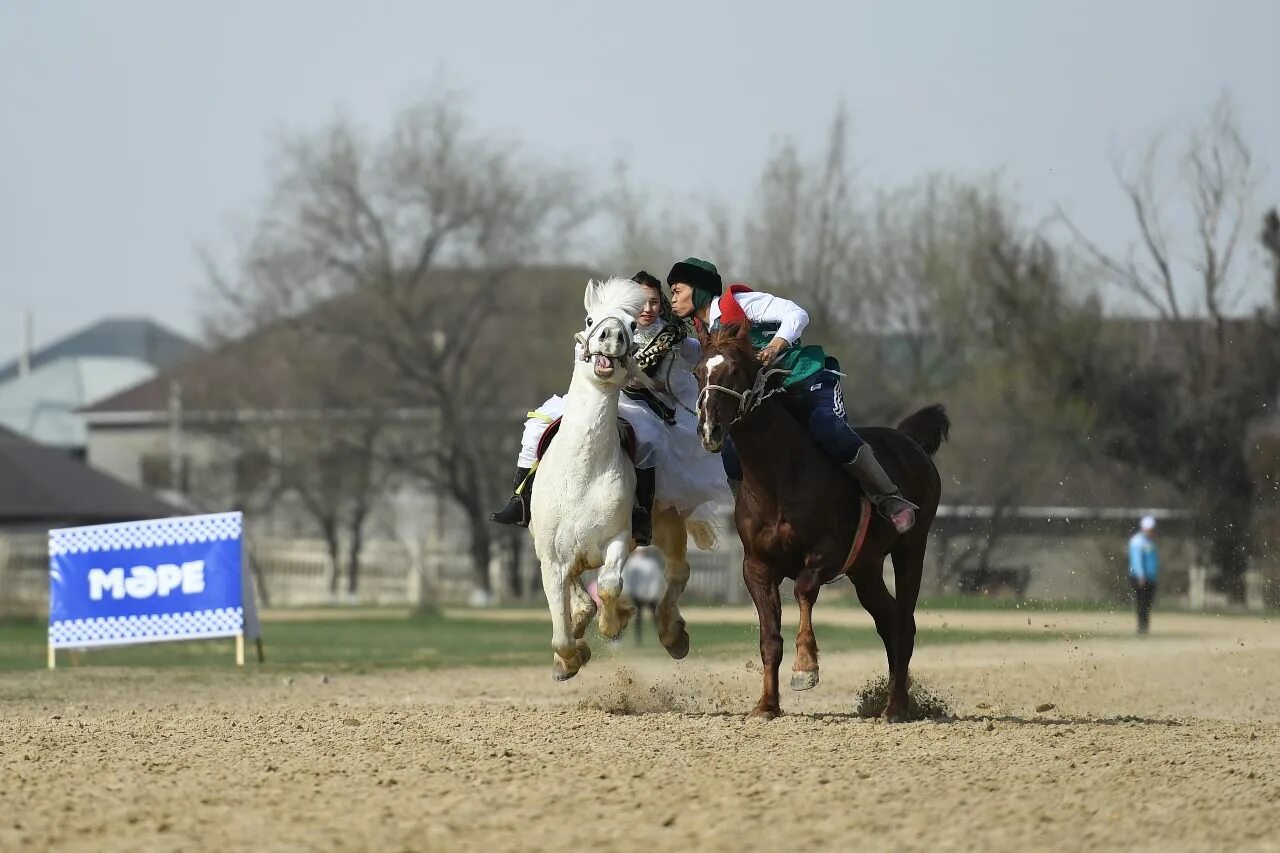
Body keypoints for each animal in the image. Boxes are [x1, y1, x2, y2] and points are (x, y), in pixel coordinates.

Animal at [529, 277, 655, 676]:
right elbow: (560, 631)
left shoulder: (618, 537)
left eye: (631, 325)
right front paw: (569, 659)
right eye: (589, 319)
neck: (581, 473)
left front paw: (612, 624)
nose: (610, 334)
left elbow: (612, 585)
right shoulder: (551, 557)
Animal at [691, 322, 952, 722]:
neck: (777, 477)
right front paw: (766, 705)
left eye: (733, 370)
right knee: (889, 620)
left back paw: (894, 708)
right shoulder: (756, 565)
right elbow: (769, 637)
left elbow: (802, 589)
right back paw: (898, 700)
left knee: (904, 622)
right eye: (697, 372)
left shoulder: (826, 554)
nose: (710, 429)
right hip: (866, 569)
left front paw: (805, 668)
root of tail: (910, 441)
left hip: (912, 547)